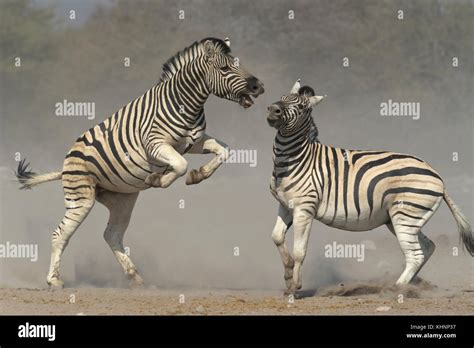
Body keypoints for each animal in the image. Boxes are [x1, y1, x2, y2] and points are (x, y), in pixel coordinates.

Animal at [14, 38, 262, 288]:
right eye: (225, 68)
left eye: (237, 64)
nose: (258, 87)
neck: (186, 105)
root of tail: (65, 164)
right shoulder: (155, 143)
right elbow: (181, 165)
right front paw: (159, 179)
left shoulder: (195, 142)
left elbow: (224, 151)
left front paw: (198, 175)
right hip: (81, 197)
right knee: (61, 234)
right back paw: (54, 280)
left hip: (121, 200)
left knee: (112, 234)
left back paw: (135, 277)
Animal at [268, 79, 472, 296]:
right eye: (282, 98)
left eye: (301, 107)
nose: (273, 110)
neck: (294, 159)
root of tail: (438, 176)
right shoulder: (286, 205)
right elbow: (277, 237)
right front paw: (288, 275)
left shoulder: (304, 207)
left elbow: (300, 251)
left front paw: (295, 287)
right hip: (400, 218)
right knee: (427, 247)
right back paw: (410, 284)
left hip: (405, 215)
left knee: (415, 254)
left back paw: (396, 288)